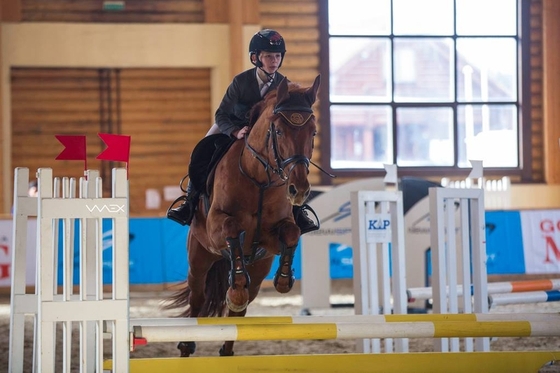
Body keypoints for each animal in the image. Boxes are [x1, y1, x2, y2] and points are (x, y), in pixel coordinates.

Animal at [165, 74, 320, 356]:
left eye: (313, 132)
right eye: (278, 131)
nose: (299, 190)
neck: (259, 180)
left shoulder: (270, 240)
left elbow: (291, 232)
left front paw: (284, 279)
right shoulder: (216, 228)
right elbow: (232, 228)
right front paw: (235, 289)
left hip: (258, 270)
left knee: (242, 307)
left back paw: (228, 346)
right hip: (199, 257)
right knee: (198, 298)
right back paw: (188, 344)